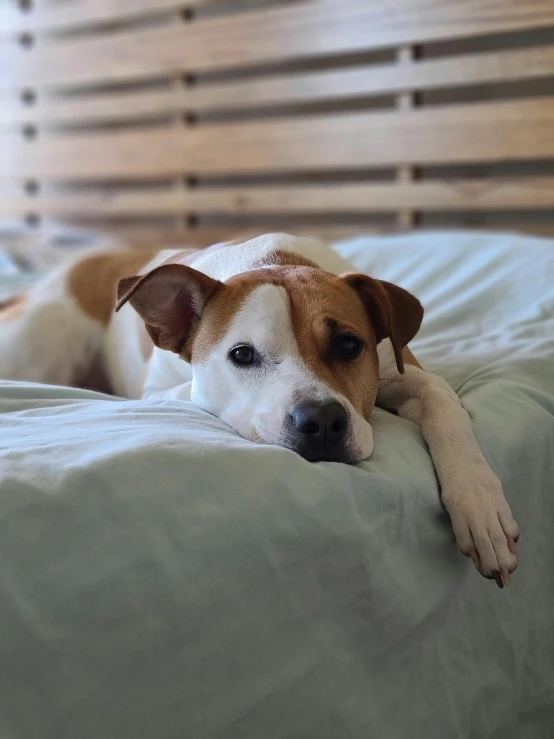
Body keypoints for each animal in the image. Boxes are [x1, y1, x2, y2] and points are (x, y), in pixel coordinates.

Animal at [0, 233, 516, 588]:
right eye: (242, 355)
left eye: (350, 346)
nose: (321, 422)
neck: (275, 262)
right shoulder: (163, 392)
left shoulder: (407, 371)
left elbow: (444, 403)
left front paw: (480, 504)